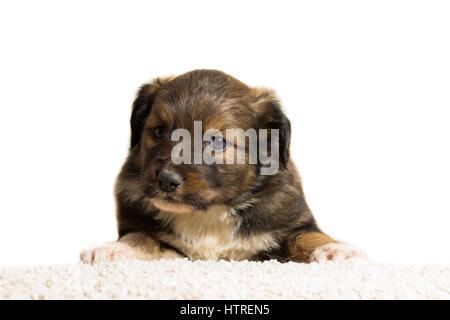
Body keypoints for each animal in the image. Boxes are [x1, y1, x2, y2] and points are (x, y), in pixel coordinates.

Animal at [80, 69, 366, 262]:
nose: (166, 180)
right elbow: (140, 236)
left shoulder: (290, 224)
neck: (209, 213)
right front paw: (115, 248)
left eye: (216, 141)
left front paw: (335, 248)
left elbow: (307, 236)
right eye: (159, 131)